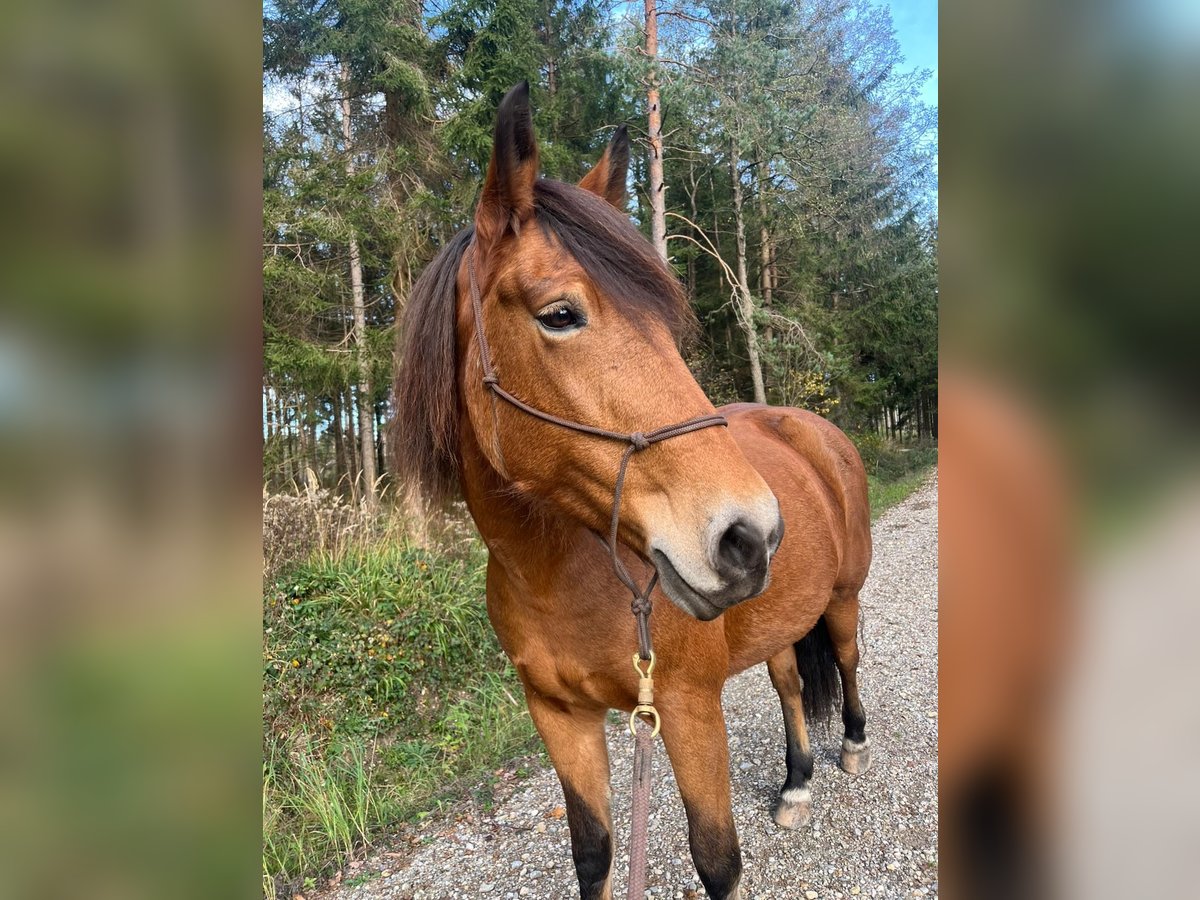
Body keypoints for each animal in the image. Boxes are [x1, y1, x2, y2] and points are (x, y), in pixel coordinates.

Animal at [393, 81, 873, 897]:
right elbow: (593, 854)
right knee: (786, 681)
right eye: (560, 315)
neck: (556, 578)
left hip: (841, 600)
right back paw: (796, 781)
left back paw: (854, 748)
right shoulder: (559, 717)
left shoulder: (685, 708)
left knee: (845, 661)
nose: (751, 535)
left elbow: (717, 860)